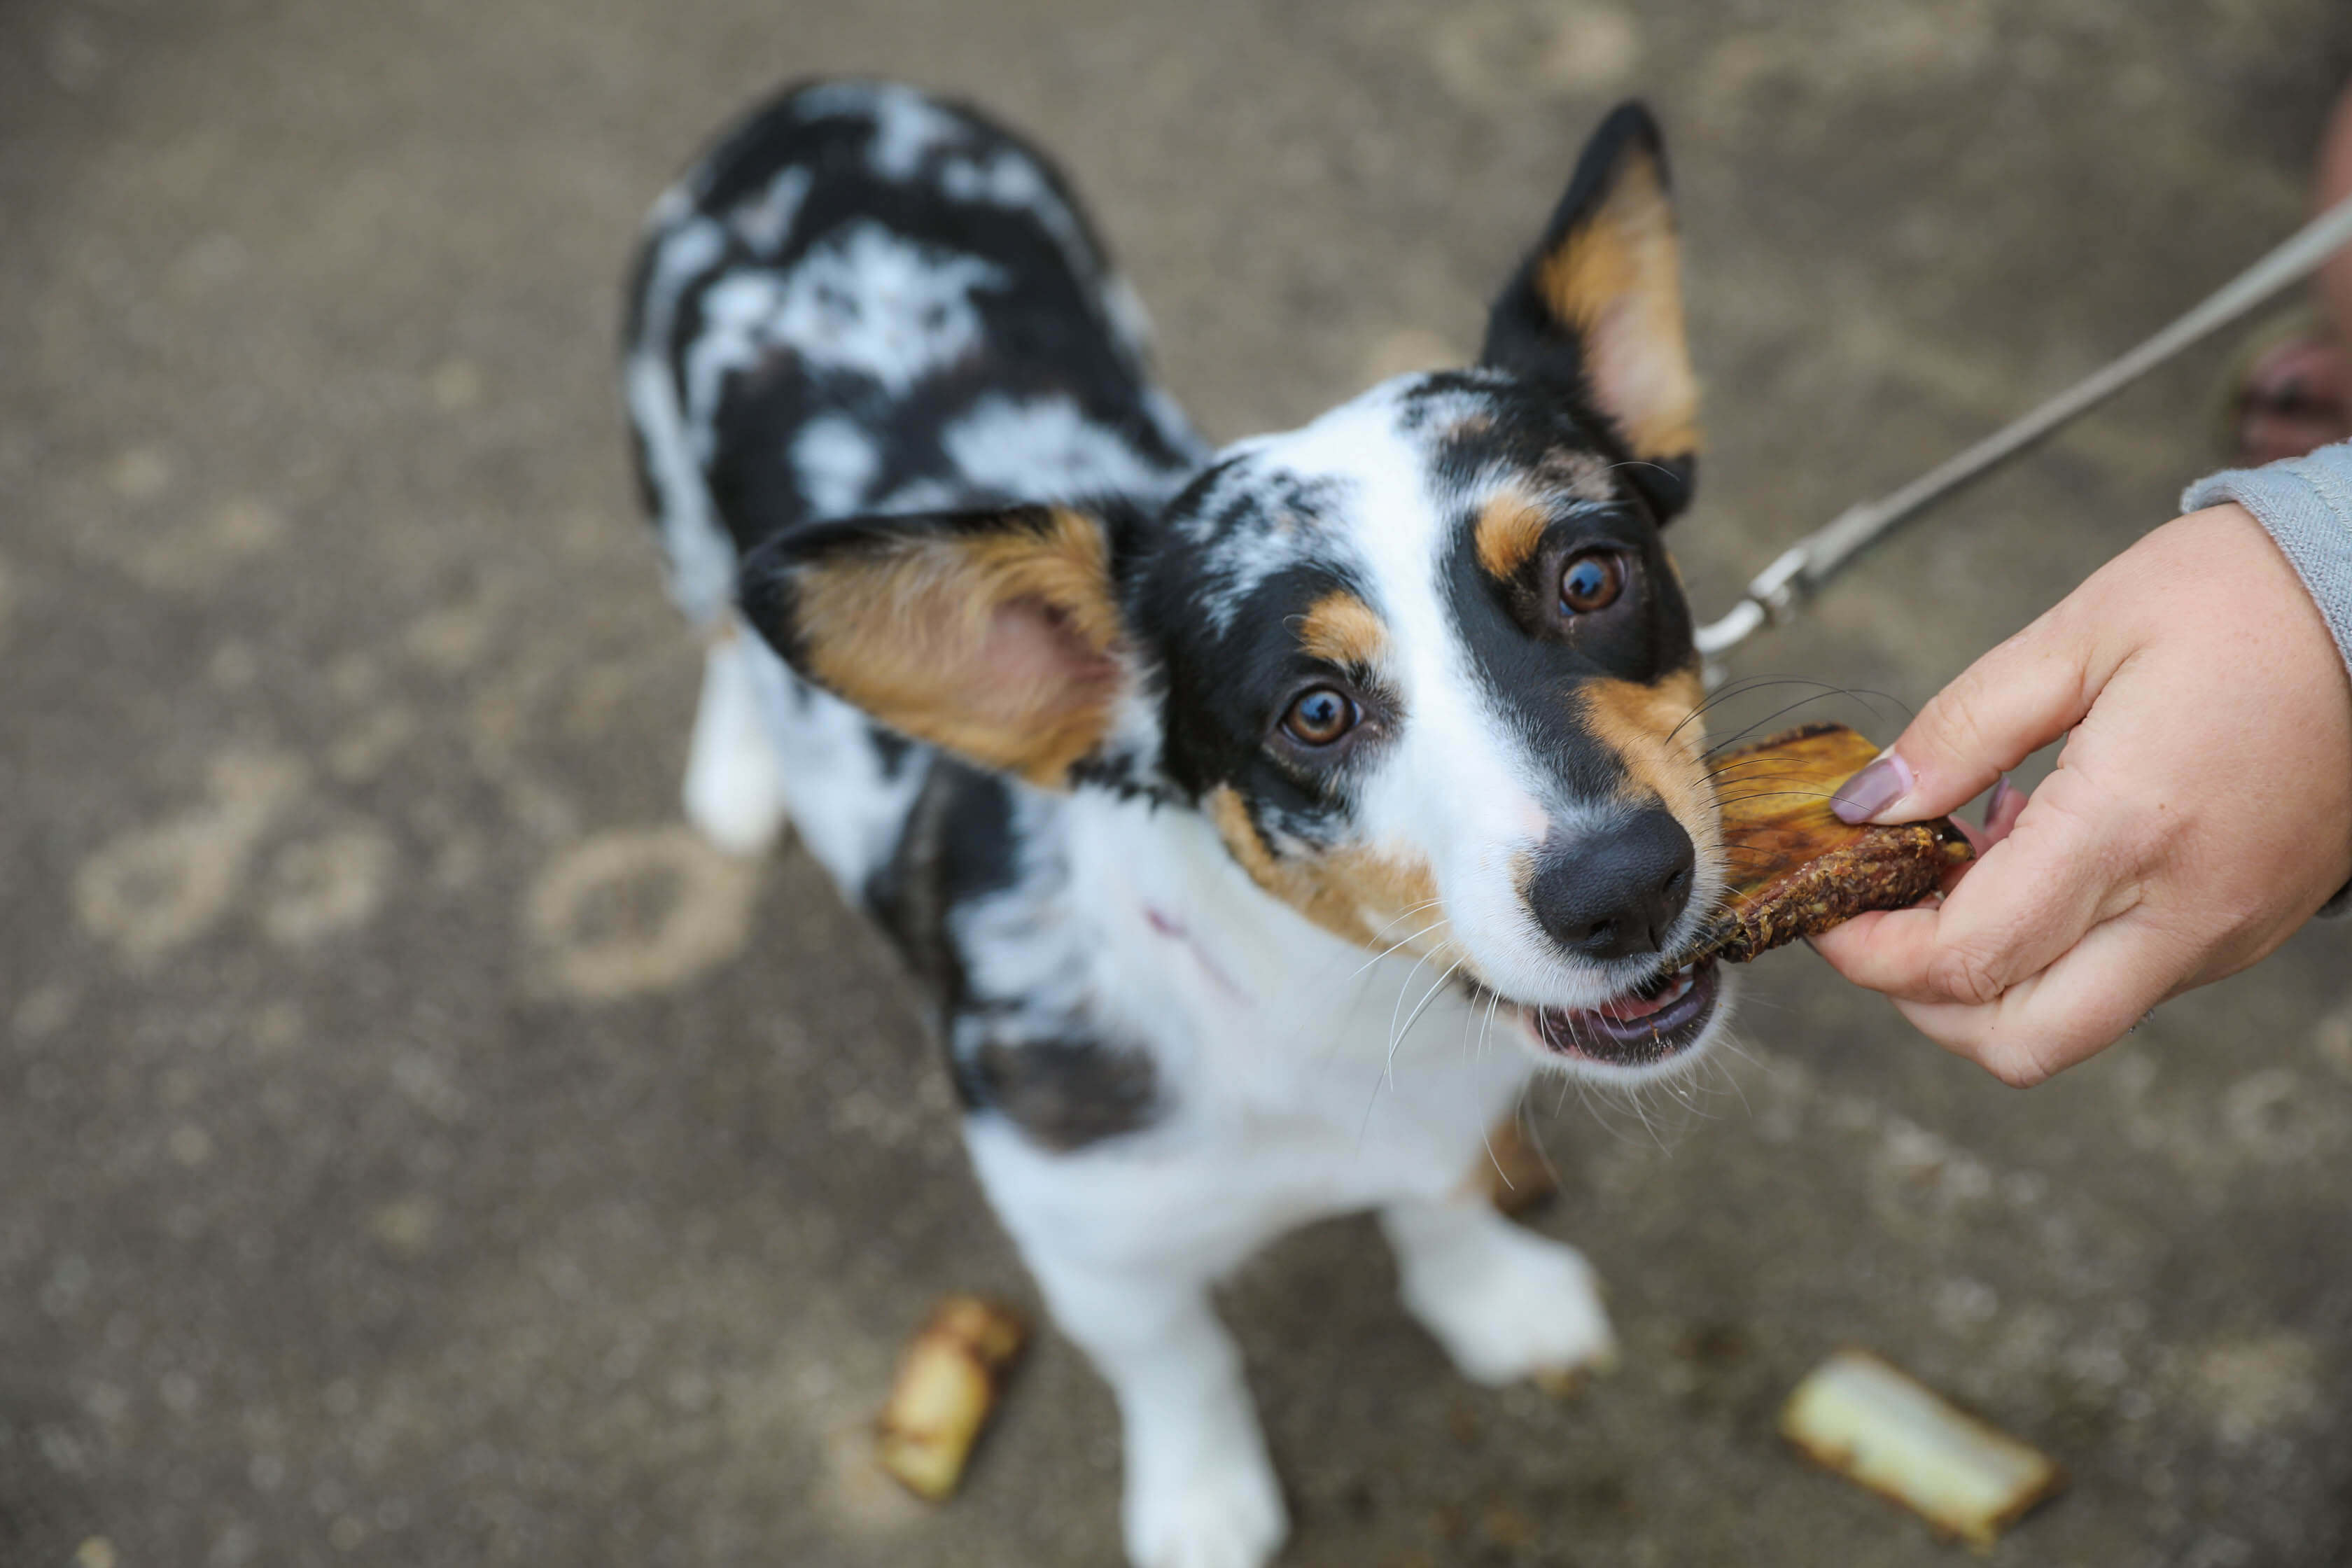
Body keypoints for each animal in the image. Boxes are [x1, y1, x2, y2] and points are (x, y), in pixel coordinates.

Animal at [625, 83, 1730, 1568]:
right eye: (1315, 712)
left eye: (1592, 576)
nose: (1626, 887)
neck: (1332, 1009)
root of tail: (811, 103)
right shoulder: (1097, 1248)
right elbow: (1179, 1364)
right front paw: (1204, 1503)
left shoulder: (1449, 1121)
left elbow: (1441, 1209)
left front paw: (1493, 1301)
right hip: (678, 514)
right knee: (724, 637)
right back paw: (740, 772)